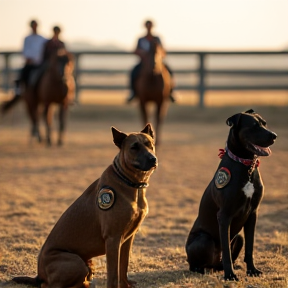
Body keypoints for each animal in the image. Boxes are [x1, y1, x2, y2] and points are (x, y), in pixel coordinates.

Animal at [12, 124, 158, 288]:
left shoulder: (127, 239)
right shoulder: (112, 238)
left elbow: (123, 267)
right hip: (76, 262)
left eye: (150, 144)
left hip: (88, 263)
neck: (128, 181)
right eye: (134, 147)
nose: (153, 159)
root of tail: (39, 275)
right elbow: (113, 273)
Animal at [186, 109, 278, 280]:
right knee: (198, 262)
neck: (246, 166)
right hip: (204, 239)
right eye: (254, 126)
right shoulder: (224, 215)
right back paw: (202, 269)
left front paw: (252, 270)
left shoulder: (253, 214)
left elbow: (250, 248)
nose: (274, 135)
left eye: (264, 123)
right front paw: (230, 275)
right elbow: (226, 251)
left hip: (238, 238)